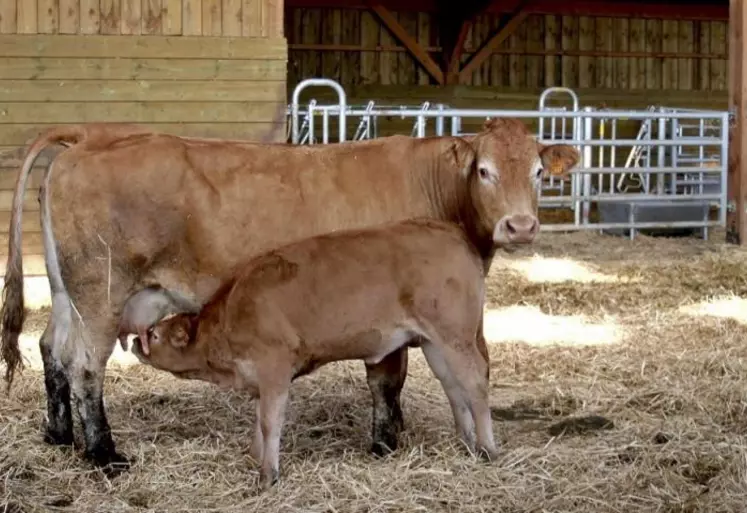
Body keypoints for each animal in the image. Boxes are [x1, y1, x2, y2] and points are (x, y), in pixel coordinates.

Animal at [137, 216, 500, 488]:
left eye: (154, 334)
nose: (136, 341)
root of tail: (447, 231)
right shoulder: (259, 378)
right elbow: (258, 420)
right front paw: (255, 457)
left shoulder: (274, 368)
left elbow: (270, 422)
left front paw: (268, 476)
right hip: (433, 342)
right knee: (454, 388)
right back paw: (466, 443)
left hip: (455, 335)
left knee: (475, 383)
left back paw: (487, 448)